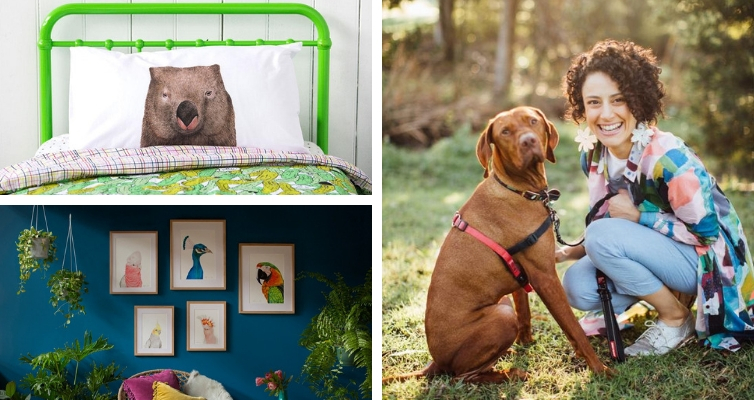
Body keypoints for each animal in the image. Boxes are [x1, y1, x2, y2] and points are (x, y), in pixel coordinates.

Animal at [384, 105, 608, 384]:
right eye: (505, 132)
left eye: (532, 121)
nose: (529, 141)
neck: (520, 190)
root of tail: (435, 362)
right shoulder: (544, 275)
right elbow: (573, 327)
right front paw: (601, 369)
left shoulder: (521, 278)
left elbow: (525, 314)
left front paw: (526, 343)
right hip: (501, 316)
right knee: (462, 376)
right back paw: (509, 373)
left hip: (502, 303)